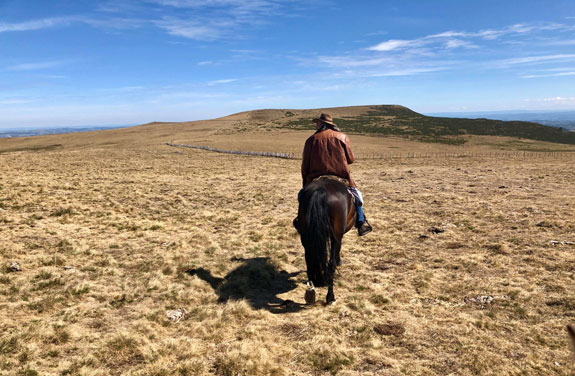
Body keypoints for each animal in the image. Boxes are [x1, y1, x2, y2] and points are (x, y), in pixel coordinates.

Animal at [296, 177, 356, 306]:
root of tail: (320, 191)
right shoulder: (338, 236)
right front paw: (339, 260)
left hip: (306, 235)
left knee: (309, 260)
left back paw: (310, 292)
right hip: (335, 236)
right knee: (330, 264)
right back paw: (330, 297)